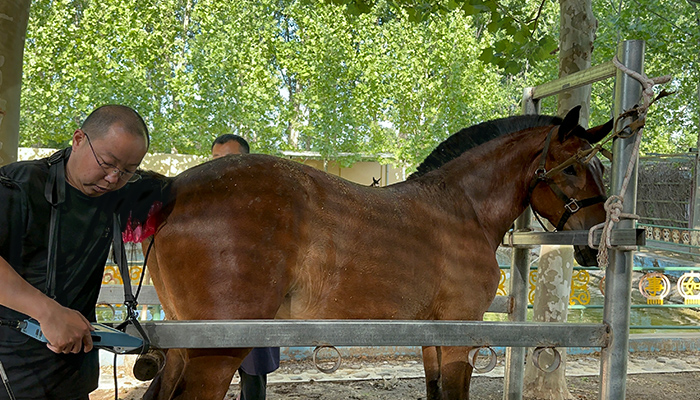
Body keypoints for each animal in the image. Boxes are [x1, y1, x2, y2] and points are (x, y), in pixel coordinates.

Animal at [137, 105, 612, 400]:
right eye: (571, 168)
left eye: (600, 167)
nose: (596, 241)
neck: (461, 208)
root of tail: (173, 187)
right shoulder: (459, 332)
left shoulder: (431, 334)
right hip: (215, 353)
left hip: (181, 348)